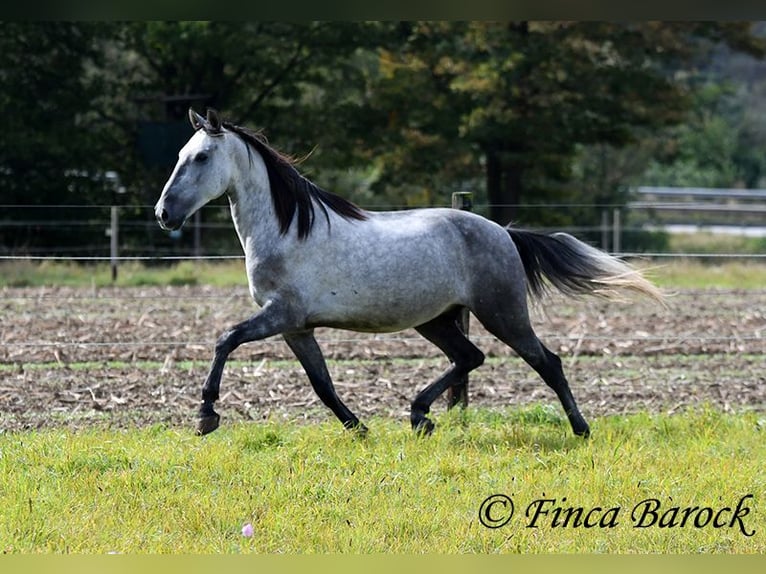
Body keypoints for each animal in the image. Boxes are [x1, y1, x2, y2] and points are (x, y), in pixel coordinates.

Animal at [153, 109, 664, 440]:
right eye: (179, 153)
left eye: (201, 158)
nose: (163, 214)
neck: (286, 228)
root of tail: (502, 232)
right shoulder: (297, 328)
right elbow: (322, 384)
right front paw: (359, 428)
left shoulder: (281, 316)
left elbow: (225, 340)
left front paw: (205, 414)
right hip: (436, 319)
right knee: (470, 357)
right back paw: (419, 416)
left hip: (502, 312)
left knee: (546, 362)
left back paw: (581, 429)